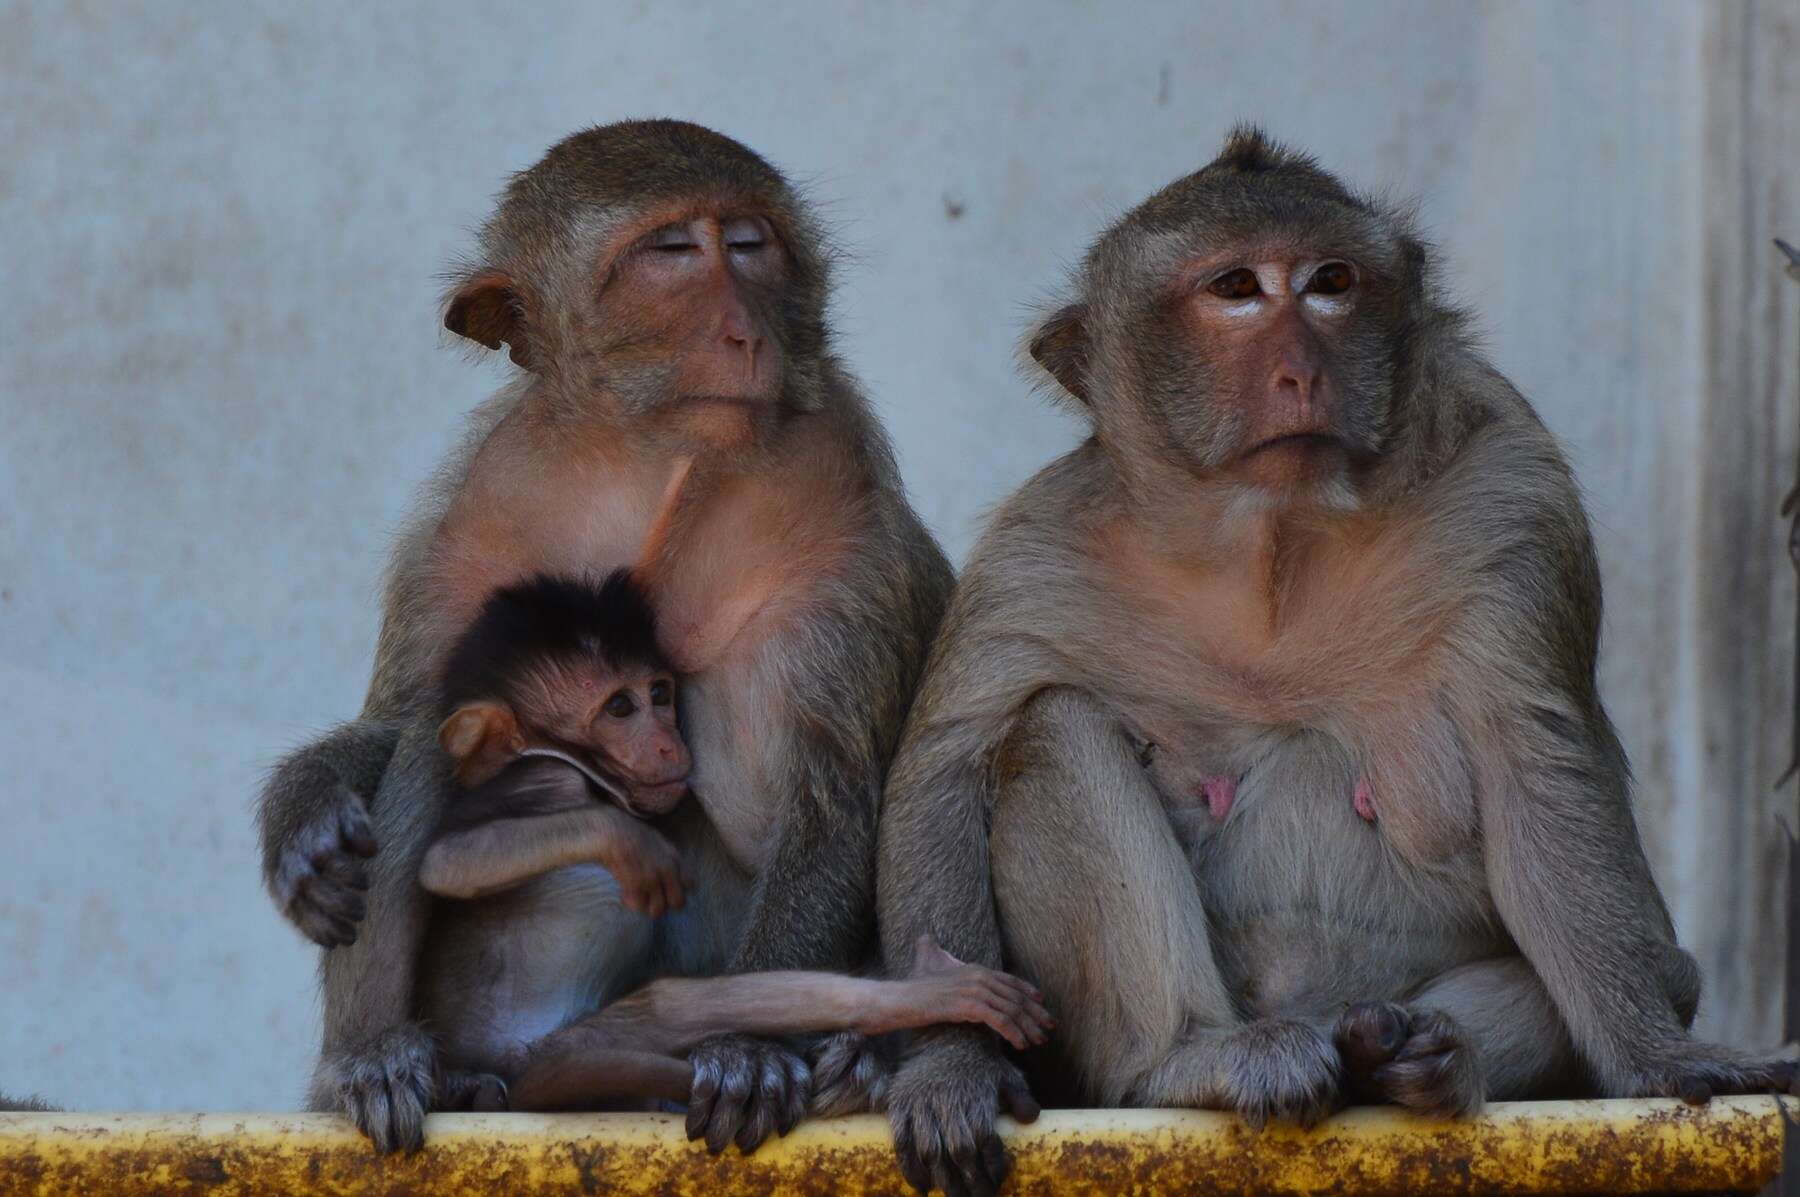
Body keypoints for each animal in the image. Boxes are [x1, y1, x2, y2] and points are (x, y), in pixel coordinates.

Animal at [257, 118, 957, 1152]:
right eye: (671, 254)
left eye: (749, 243)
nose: (744, 331)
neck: (649, 452)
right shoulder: (481, 514)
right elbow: (404, 713)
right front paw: (304, 811)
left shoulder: (842, 508)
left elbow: (831, 789)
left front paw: (750, 1045)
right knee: (433, 733)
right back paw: (386, 1058)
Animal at [874, 126, 1800, 1188]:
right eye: (1236, 288)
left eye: (1331, 282)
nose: (1302, 370)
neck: (1278, 546)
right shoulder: (1043, 546)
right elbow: (943, 771)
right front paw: (951, 1063)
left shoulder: (1512, 491)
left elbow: (1535, 761)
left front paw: (1661, 1054)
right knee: (1052, 729)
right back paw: (1197, 1057)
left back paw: (1414, 1054)